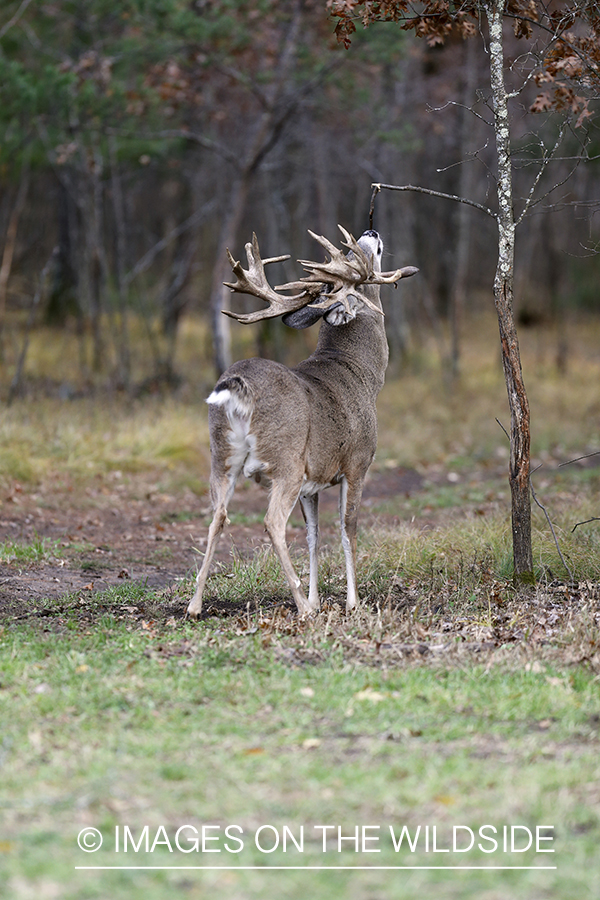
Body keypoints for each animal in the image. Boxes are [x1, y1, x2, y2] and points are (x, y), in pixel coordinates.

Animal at [188, 227, 418, 620]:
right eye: (355, 256)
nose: (371, 230)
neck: (363, 376)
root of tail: (237, 384)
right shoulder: (357, 463)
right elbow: (348, 528)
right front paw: (351, 602)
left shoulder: (314, 479)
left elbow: (313, 536)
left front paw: (316, 598)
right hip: (285, 460)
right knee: (272, 523)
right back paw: (300, 607)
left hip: (222, 457)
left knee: (217, 516)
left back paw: (194, 605)